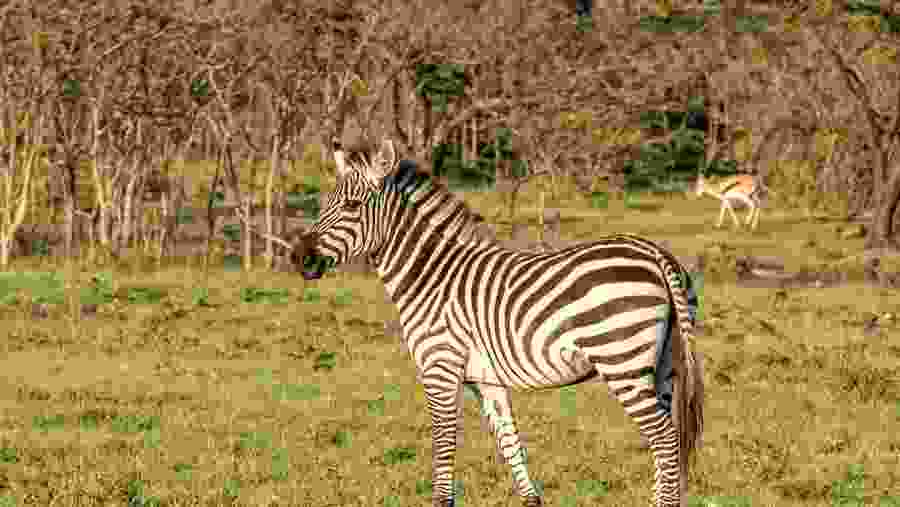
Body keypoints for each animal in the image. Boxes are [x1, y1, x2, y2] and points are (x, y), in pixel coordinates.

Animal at [295, 138, 705, 507]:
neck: (431, 275)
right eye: (325, 204)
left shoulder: (439, 368)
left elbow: (444, 446)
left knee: (664, 440)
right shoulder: (485, 380)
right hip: (664, 365)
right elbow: (511, 445)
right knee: (666, 445)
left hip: (622, 359)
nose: (299, 258)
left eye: (351, 205)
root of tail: (655, 253)